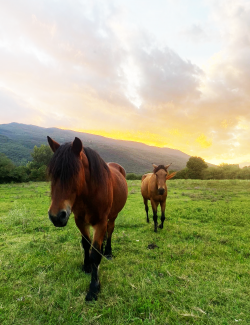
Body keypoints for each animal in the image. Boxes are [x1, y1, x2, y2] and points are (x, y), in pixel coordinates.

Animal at [47, 135, 128, 300]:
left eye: (74, 173)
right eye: (52, 174)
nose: (56, 216)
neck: (89, 193)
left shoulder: (100, 222)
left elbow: (95, 254)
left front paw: (94, 288)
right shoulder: (79, 220)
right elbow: (86, 244)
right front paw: (86, 266)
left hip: (112, 216)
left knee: (110, 230)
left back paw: (108, 252)